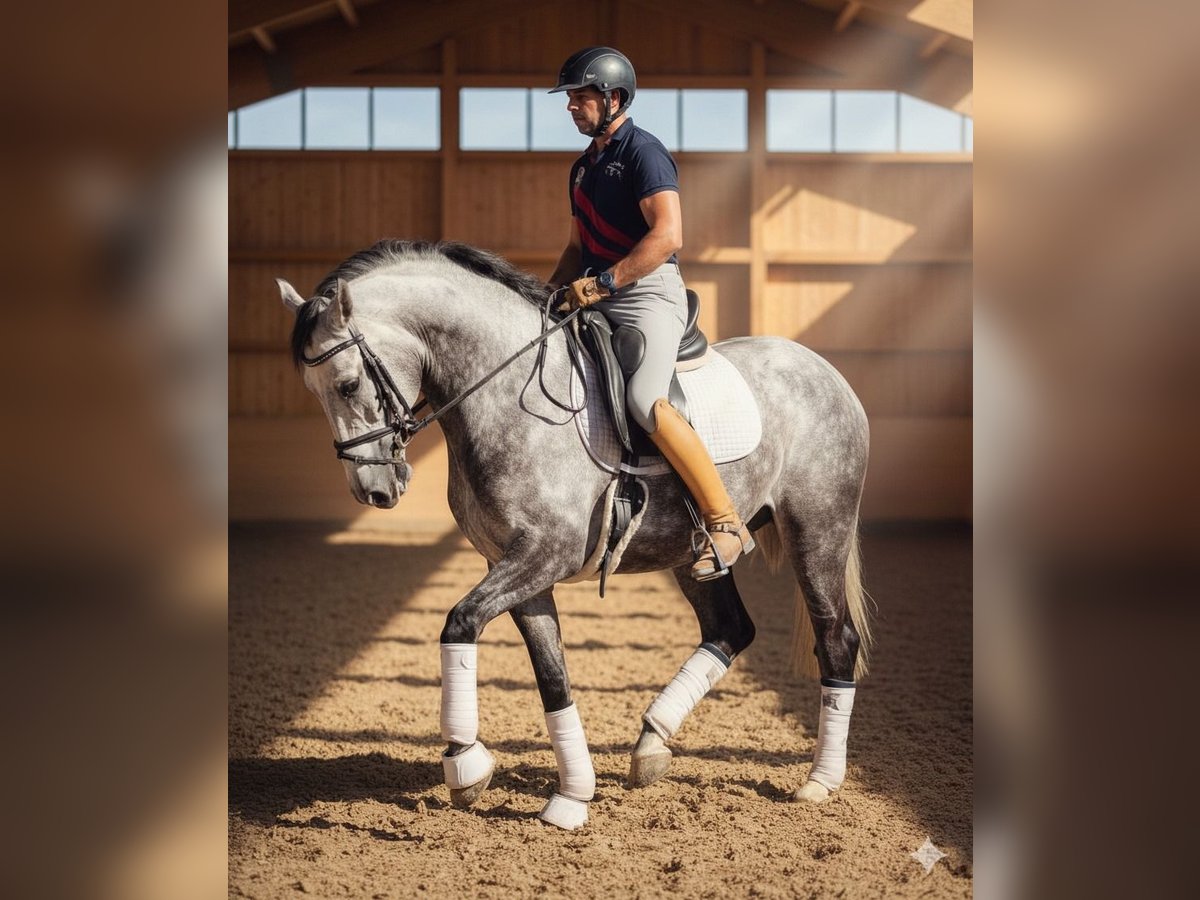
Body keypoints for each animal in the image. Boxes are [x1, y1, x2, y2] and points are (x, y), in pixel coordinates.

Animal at [277, 239, 871, 830]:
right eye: (313, 390)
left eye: (349, 384)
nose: (372, 490)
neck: (508, 394)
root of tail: (822, 368)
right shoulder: (516, 567)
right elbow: (552, 675)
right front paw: (572, 796)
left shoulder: (546, 554)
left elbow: (459, 622)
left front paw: (465, 762)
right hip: (690, 552)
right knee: (730, 629)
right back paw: (651, 743)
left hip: (817, 529)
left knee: (835, 638)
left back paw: (820, 782)